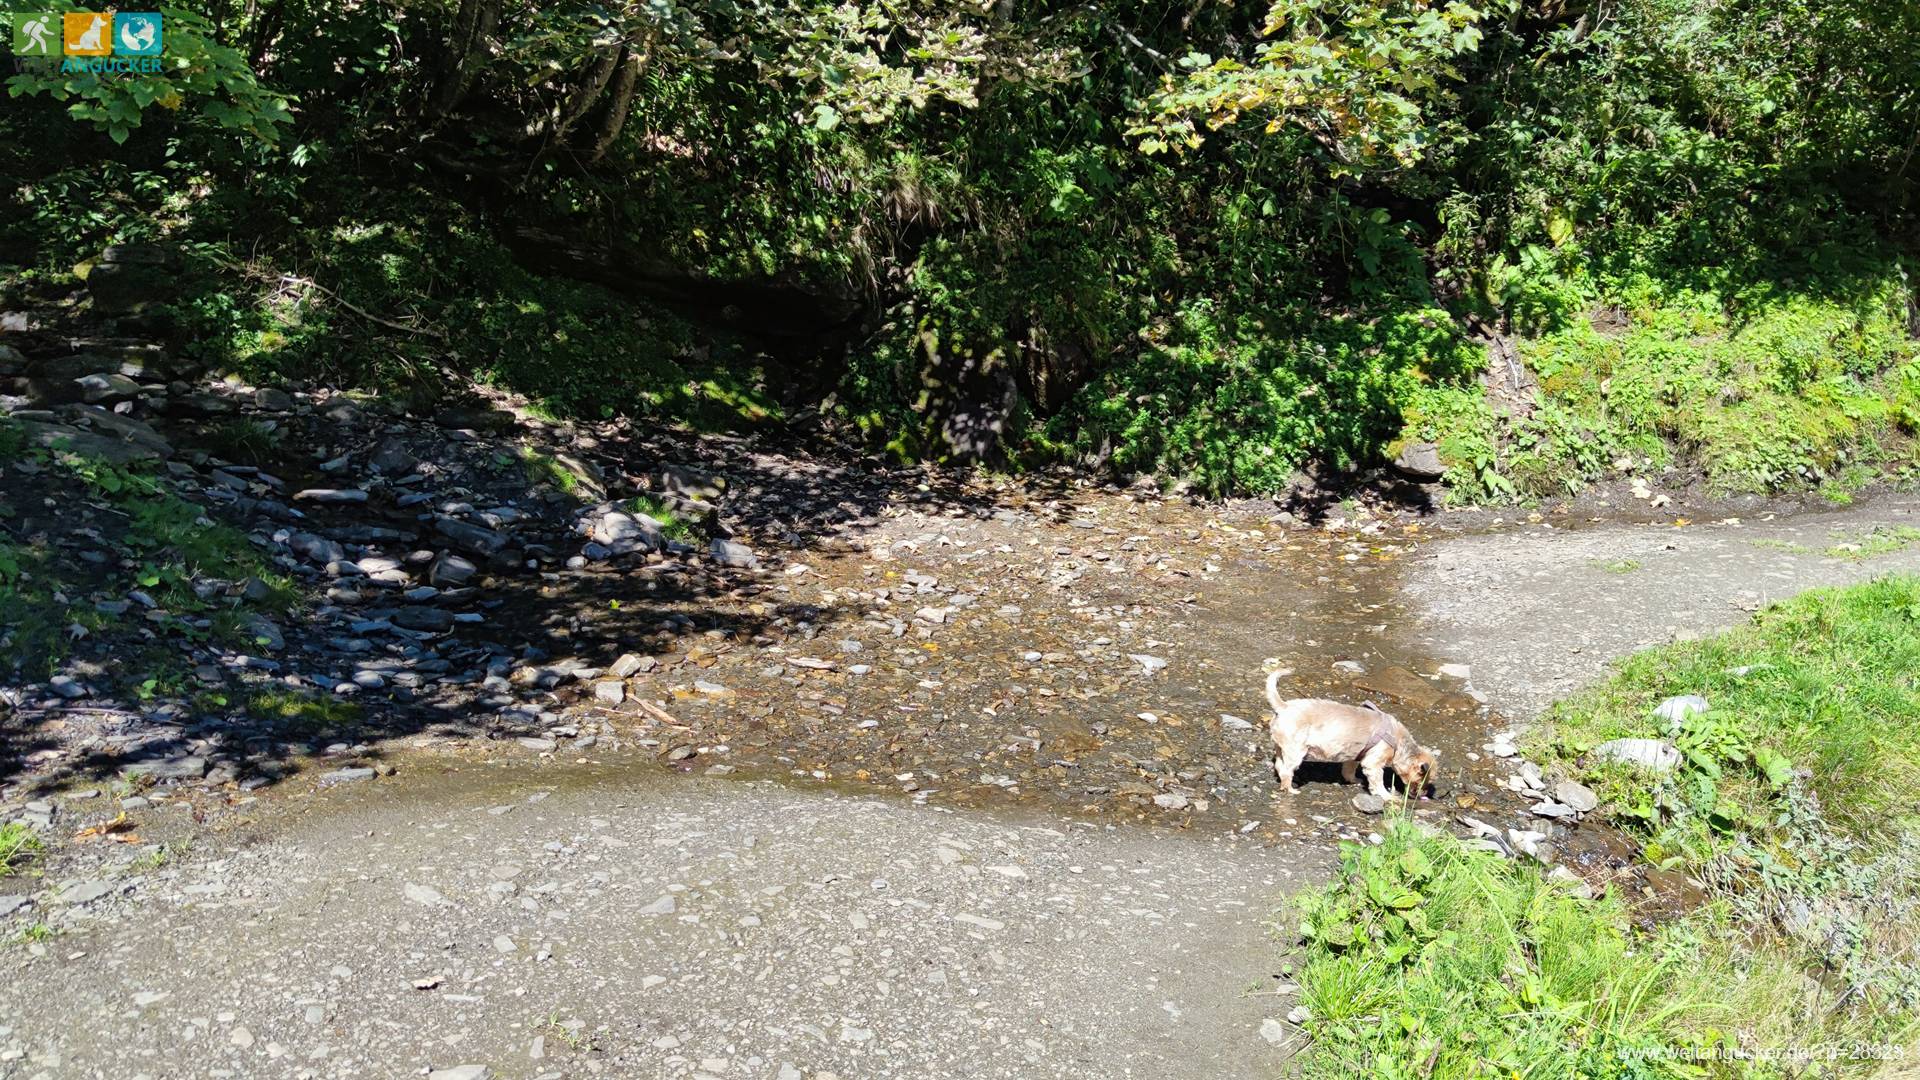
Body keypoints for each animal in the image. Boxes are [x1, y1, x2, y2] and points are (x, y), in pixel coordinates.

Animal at [1259, 657, 1443, 799]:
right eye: (1422, 780)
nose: (1423, 794)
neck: (1399, 743)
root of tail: (1283, 707)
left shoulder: (1355, 757)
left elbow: (1348, 770)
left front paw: (1353, 780)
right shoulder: (1374, 763)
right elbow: (1378, 782)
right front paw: (1387, 796)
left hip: (1281, 748)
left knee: (1279, 765)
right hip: (1296, 751)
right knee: (1286, 771)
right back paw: (1290, 788)